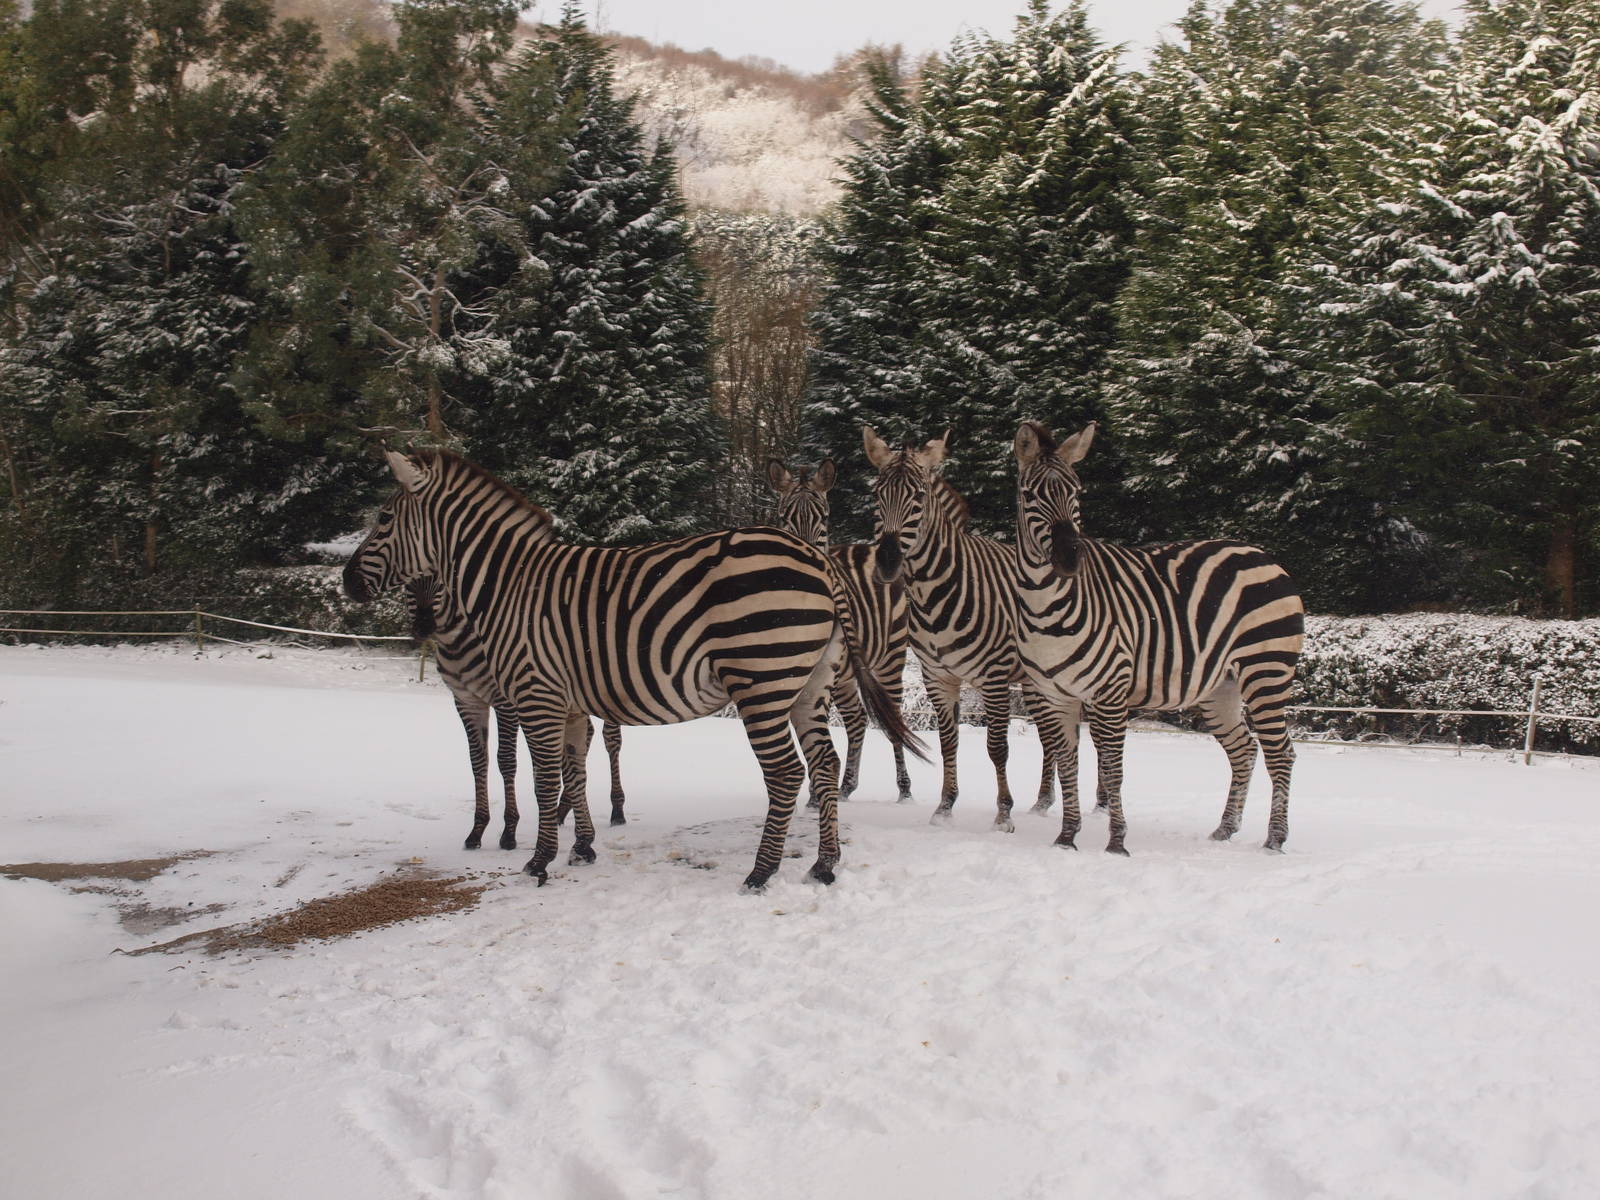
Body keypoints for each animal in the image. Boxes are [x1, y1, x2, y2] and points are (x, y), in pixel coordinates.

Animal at [408, 577, 630, 852]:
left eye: (441, 584)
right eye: (407, 583)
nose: (421, 628)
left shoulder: (508, 703)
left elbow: (506, 760)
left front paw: (509, 832)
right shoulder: (465, 702)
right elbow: (477, 761)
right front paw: (477, 831)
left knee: (611, 740)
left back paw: (616, 808)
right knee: (584, 735)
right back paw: (564, 807)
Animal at [767, 458, 913, 802]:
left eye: (823, 517)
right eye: (784, 517)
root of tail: (868, 548)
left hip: (890, 659)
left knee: (893, 720)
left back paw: (904, 789)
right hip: (846, 676)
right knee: (857, 720)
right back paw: (846, 785)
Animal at [863, 427, 1058, 830]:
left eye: (919, 497)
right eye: (877, 495)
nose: (887, 563)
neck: (935, 593)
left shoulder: (994, 677)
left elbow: (997, 747)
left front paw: (1003, 813)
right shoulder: (938, 676)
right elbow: (948, 741)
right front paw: (944, 807)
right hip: (1035, 682)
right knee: (1054, 737)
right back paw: (1043, 801)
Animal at [1012, 420, 1305, 854]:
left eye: (1077, 492)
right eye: (1029, 495)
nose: (1069, 559)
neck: (1046, 607)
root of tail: (1260, 554)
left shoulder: (1110, 692)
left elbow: (1112, 770)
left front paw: (1117, 842)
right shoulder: (1055, 695)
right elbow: (1068, 765)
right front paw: (1066, 837)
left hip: (1265, 670)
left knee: (1281, 753)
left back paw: (1274, 838)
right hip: (1221, 685)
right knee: (1244, 749)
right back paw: (1225, 829)